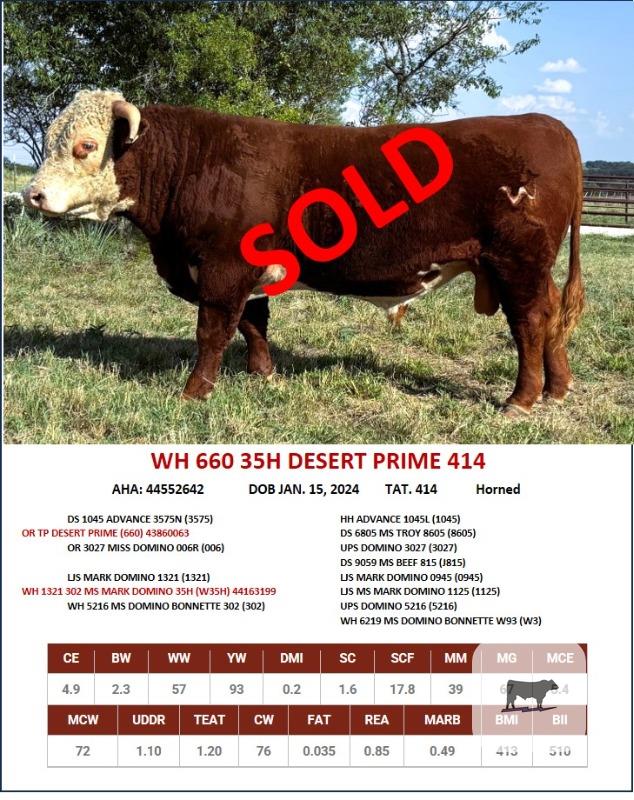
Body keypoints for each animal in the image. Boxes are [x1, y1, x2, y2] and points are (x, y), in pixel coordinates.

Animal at [24, 90, 584, 415]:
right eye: (51, 141)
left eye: (85, 146)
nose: (31, 195)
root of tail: (549, 124)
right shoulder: (249, 270)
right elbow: (253, 324)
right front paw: (263, 375)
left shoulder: (223, 267)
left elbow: (213, 330)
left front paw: (194, 392)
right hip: (529, 267)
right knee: (552, 315)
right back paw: (557, 388)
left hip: (517, 262)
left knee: (529, 322)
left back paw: (521, 399)